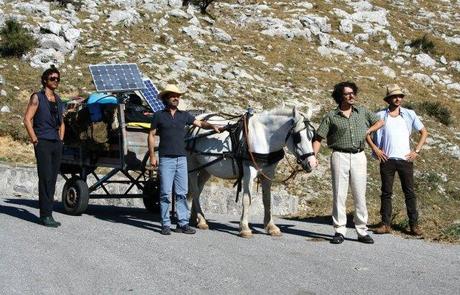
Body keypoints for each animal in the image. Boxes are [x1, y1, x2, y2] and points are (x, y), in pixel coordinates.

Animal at [186, 107, 316, 239]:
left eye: (312, 136)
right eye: (298, 137)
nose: (312, 163)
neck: (264, 138)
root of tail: (197, 120)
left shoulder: (268, 174)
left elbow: (267, 200)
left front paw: (271, 227)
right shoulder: (249, 172)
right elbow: (247, 199)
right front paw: (244, 228)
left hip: (206, 169)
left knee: (198, 189)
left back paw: (195, 218)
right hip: (192, 165)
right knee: (195, 190)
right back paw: (202, 220)